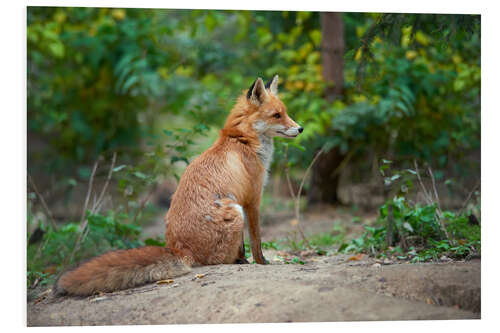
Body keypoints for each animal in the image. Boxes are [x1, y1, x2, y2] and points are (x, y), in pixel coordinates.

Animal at [56, 76, 302, 296]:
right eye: (277, 115)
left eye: (286, 112)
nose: (300, 129)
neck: (243, 140)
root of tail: (180, 248)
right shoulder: (252, 200)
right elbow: (257, 240)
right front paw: (262, 263)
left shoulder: (246, 200)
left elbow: (247, 243)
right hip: (235, 211)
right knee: (220, 259)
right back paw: (237, 262)